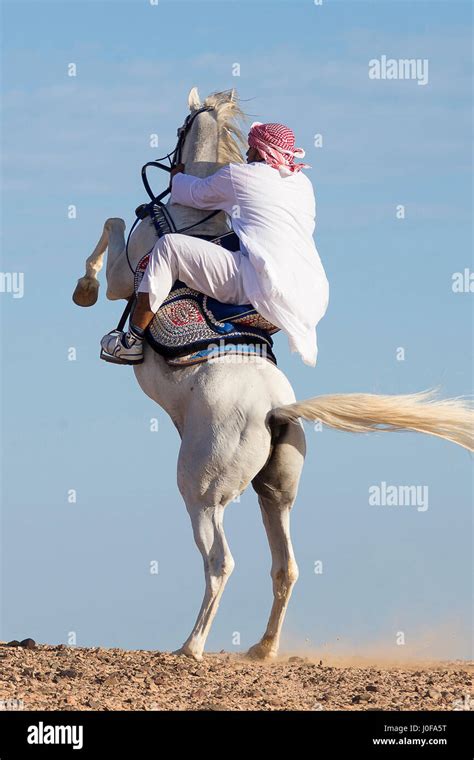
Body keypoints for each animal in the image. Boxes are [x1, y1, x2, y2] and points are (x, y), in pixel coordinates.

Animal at [71, 87, 474, 660]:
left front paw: (85, 295)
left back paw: (191, 646)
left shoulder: (128, 277)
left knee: (221, 563)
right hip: (275, 494)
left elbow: (109, 231)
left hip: (202, 493)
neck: (195, 214)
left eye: (180, 128)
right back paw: (261, 649)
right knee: (286, 568)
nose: (167, 162)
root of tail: (276, 410)